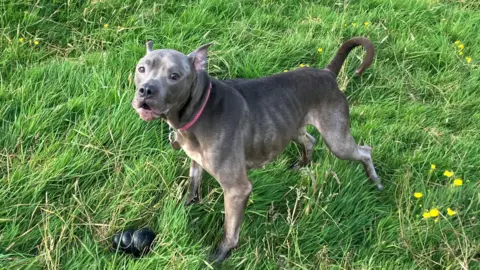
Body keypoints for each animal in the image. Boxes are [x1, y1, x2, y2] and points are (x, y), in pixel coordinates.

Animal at [130, 37, 382, 262]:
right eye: (141, 68)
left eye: (174, 76)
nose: (146, 90)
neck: (199, 107)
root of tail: (327, 74)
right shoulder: (196, 162)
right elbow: (193, 187)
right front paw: (183, 207)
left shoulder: (237, 189)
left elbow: (230, 231)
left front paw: (218, 257)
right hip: (291, 126)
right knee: (310, 140)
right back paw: (302, 164)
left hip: (337, 141)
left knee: (365, 151)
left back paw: (375, 181)